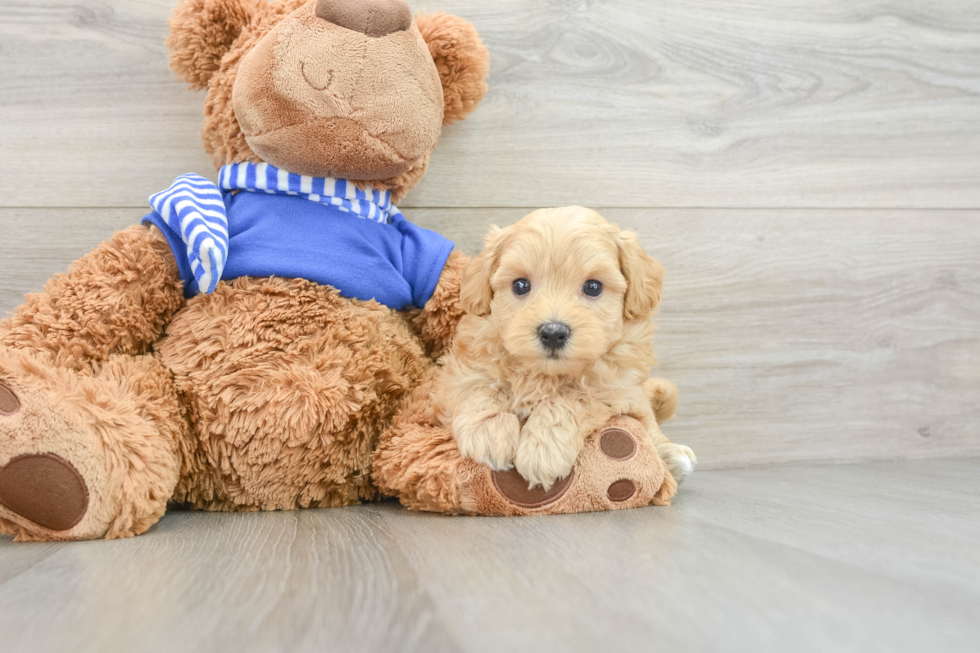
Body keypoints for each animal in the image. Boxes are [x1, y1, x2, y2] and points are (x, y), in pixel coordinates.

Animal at [432, 206, 692, 486]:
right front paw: (488, 430)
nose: (553, 332)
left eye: (593, 287)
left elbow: (572, 397)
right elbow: (478, 385)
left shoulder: (614, 388)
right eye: (520, 285)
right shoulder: (457, 372)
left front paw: (543, 449)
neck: (543, 375)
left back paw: (672, 456)